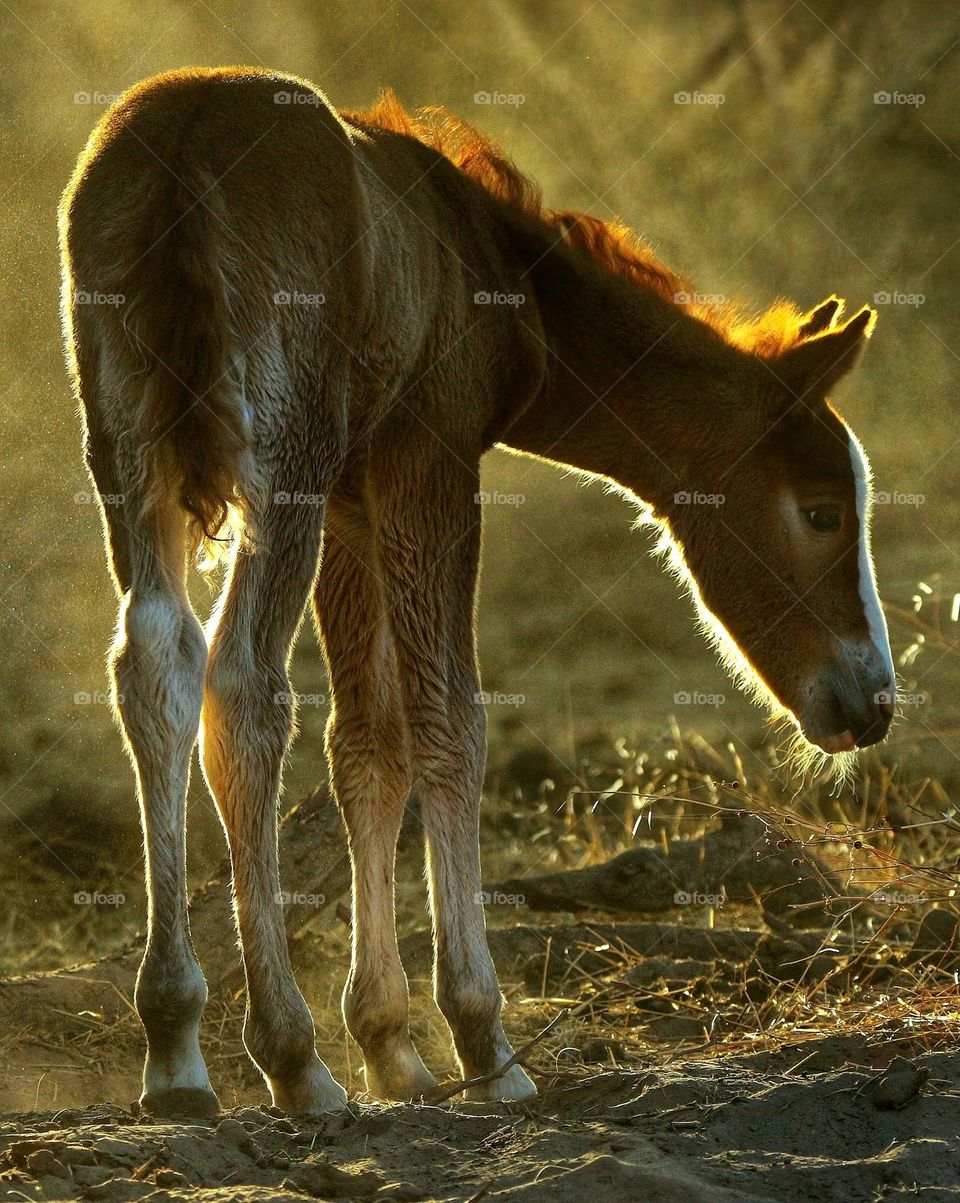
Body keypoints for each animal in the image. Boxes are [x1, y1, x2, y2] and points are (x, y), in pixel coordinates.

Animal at [58, 66, 895, 1117]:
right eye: (823, 511)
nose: (872, 699)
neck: (497, 269)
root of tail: (178, 147)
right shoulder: (432, 456)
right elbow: (449, 718)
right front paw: (481, 1038)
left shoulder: (357, 498)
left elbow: (368, 744)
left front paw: (389, 1042)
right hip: (284, 454)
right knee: (244, 682)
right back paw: (290, 1055)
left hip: (128, 450)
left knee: (154, 663)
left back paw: (174, 1045)